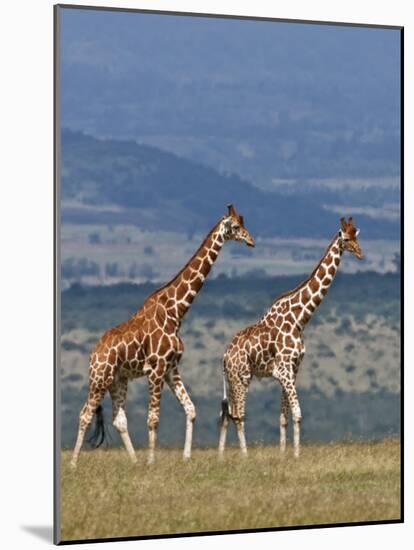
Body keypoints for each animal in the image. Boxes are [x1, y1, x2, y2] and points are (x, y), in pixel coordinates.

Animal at [69, 205, 254, 468]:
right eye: (236, 227)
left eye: (244, 223)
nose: (251, 241)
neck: (175, 312)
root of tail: (94, 354)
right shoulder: (155, 369)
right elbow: (153, 418)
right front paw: (151, 461)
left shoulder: (171, 368)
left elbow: (190, 409)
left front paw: (185, 457)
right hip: (99, 379)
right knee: (85, 414)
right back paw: (74, 463)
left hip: (118, 380)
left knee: (119, 419)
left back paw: (134, 461)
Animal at [218, 218, 364, 460]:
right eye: (346, 238)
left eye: (357, 235)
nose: (360, 253)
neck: (299, 319)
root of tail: (224, 357)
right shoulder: (284, 369)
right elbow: (297, 413)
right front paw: (295, 455)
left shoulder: (292, 369)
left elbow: (284, 416)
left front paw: (285, 454)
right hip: (241, 377)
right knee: (238, 414)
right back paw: (244, 455)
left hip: (232, 379)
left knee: (226, 414)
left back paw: (221, 455)